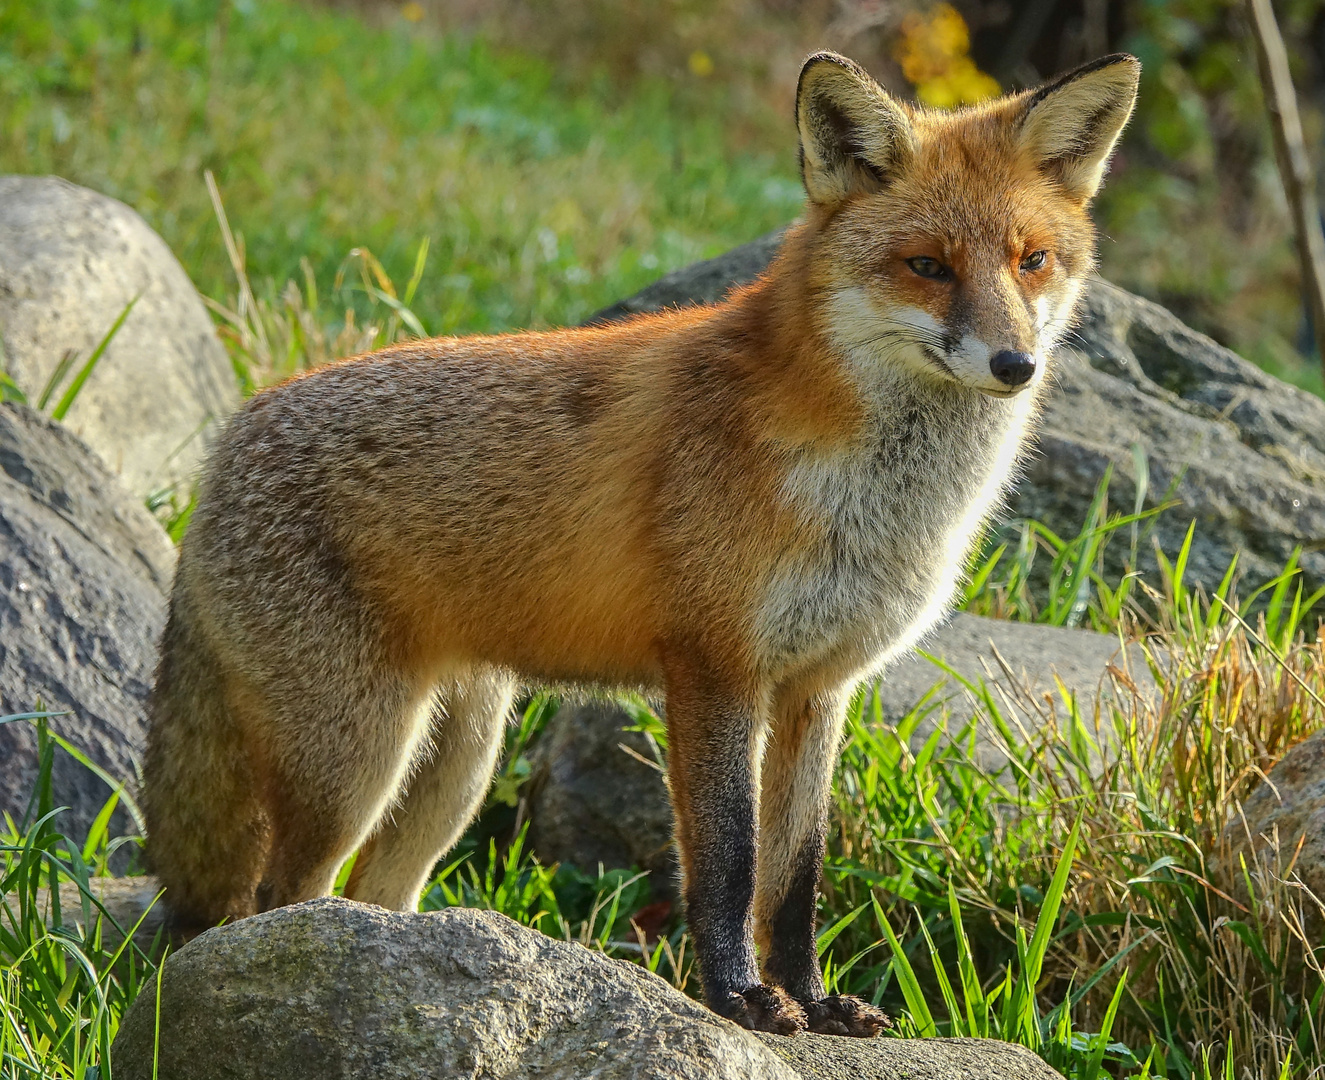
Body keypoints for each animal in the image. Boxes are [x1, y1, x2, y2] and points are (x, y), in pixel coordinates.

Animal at [142, 52, 1139, 1038]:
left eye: (1032, 261)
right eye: (926, 266)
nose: (1015, 365)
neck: (872, 504)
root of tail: (228, 440)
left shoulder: (820, 688)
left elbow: (795, 878)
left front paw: (813, 1000)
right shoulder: (714, 667)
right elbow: (729, 862)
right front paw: (739, 999)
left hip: (454, 768)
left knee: (374, 897)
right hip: (355, 763)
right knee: (276, 898)